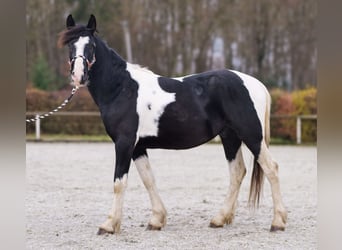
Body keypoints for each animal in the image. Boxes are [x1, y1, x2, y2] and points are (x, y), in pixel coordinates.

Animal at [58, 14, 286, 234]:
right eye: (70, 46)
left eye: (90, 46)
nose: (78, 75)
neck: (121, 88)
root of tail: (255, 84)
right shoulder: (137, 147)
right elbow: (148, 179)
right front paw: (157, 220)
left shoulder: (124, 143)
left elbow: (119, 183)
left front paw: (109, 225)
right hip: (230, 136)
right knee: (237, 172)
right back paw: (220, 219)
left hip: (252, 136)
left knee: (271, 168)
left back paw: (278, 222)